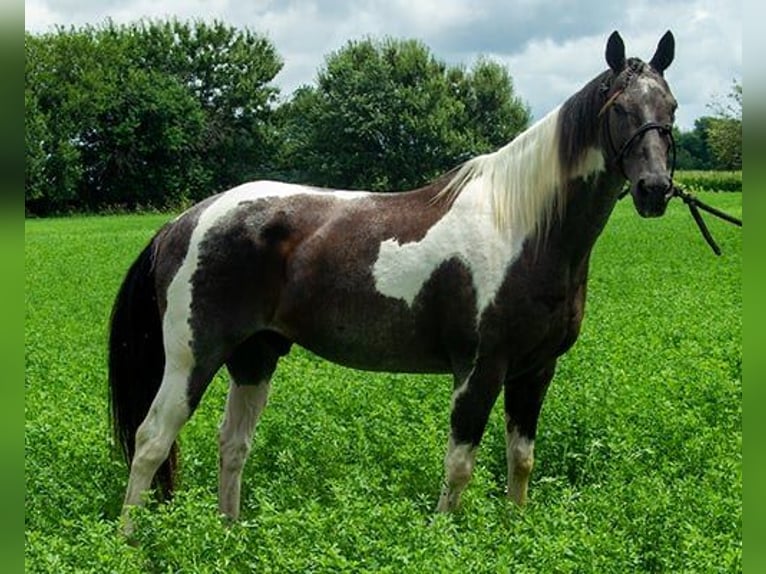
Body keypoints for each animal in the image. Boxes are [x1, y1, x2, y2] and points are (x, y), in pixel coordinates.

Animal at [109, 30, 679, 532]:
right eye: (620, 107)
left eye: (670, 108)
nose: (654, 189)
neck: (523, 228)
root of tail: (184, 221)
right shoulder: (479, 370)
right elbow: (460, 466)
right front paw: (443, 539)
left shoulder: (535, 371)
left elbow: (521, 460)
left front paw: (515, 533)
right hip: (193, 357)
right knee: (151, 440)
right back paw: (128, 541)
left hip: (254, 356)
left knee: (232, 444)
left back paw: (230, 532)